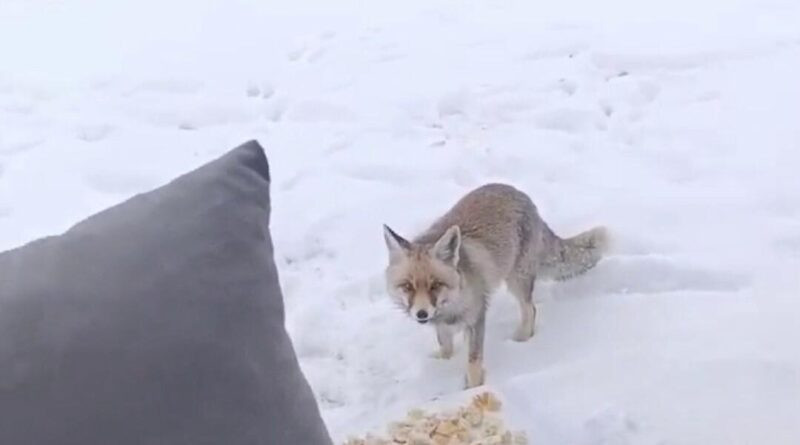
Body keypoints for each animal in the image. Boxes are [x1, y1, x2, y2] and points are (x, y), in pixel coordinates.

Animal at [382, 182, 608, 386]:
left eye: (435, 285)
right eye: (407, 286)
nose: (421, 314)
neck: (451, 305)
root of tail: (520, 194)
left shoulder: (477, 318)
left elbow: (473, 363)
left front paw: (472, 390)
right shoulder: (442, 326)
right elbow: (445, 346)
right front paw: (442, 365)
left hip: (517, 280)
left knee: (531, 309)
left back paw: (522, 340)